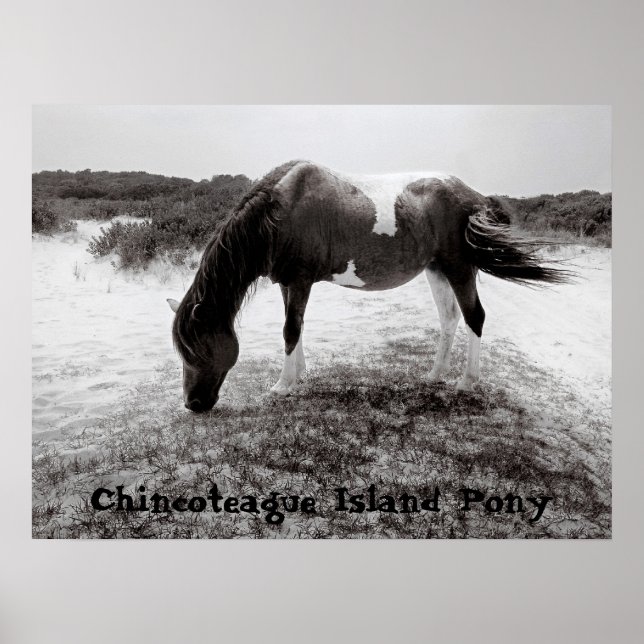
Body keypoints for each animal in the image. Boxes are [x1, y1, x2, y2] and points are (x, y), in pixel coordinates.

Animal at [167, 160, 569, 412]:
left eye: (196, 351)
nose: (193, 405)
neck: (278, 212)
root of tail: (474, 197)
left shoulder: (299, 280)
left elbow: (289, 330)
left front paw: (282, 386)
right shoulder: (287, 283)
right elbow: (297, 329)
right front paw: (300, 376)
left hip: (459, 269)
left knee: (475, 318)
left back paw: (466, 381)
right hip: (436, 270)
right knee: (450, 318)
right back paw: (434, 376)